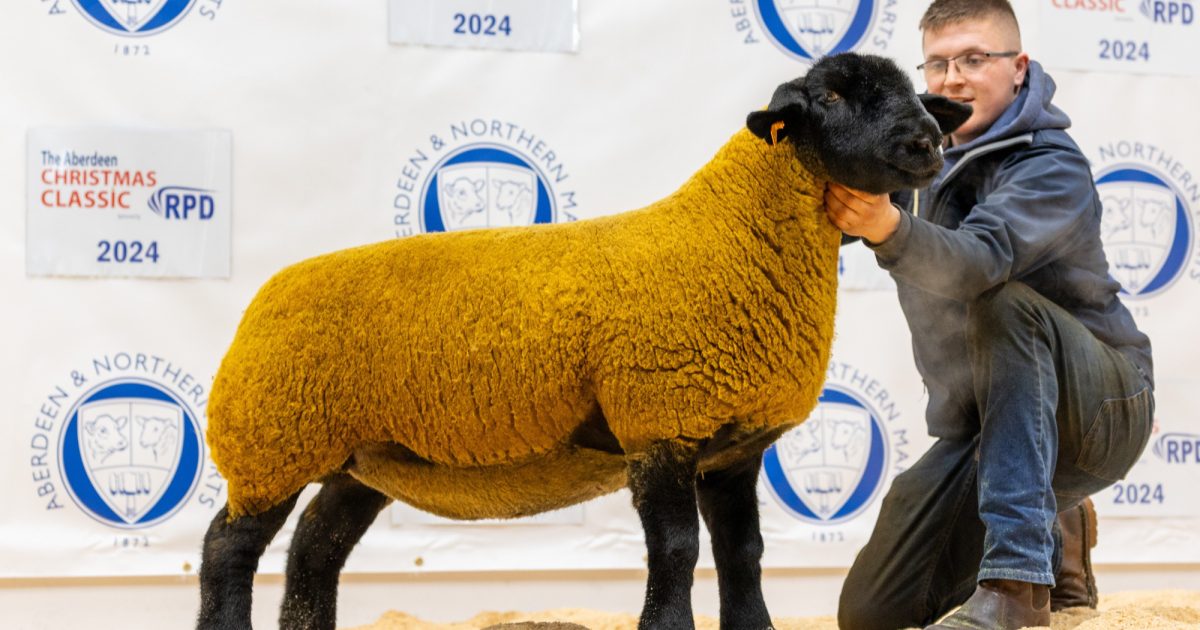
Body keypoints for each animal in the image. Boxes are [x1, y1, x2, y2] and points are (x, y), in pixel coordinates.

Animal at [196, 52, 970, 630]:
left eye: (913, 93)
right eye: (832, 96)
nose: (926, 142)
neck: (732, 237)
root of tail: (267, 294)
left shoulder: (732, 446)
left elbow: (743, 551)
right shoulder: (660, 423)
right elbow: (678, 549)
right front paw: (665, 627)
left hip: (358, 458)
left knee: (314, 550)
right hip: (273, 441)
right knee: (226, 548)